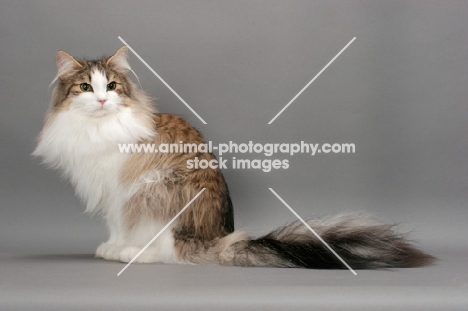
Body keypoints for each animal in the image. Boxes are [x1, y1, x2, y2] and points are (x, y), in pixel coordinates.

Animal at [33, 47, 436, 270]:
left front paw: (114, 248)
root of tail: (217, 239)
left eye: (112, 86)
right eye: (86, 87)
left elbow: (118, 225)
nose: (102, 99)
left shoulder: (119, 189)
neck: (97, 127)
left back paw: (133, 254)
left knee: (166, 250)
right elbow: (113, 225)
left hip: (155, 189)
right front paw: (109, 247)